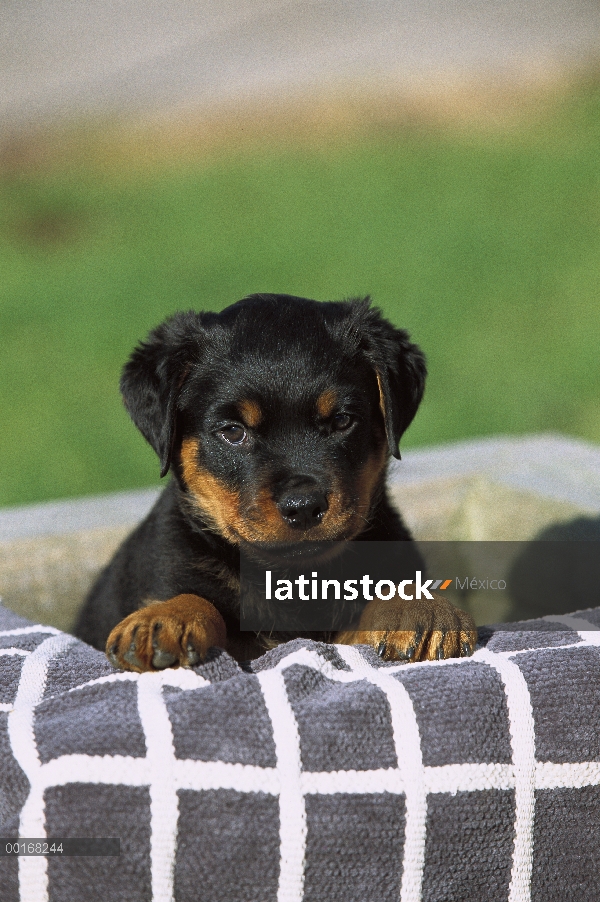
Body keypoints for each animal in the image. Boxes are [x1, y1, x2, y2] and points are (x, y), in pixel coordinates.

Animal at [75, 296, 476, 672]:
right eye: (233, 432)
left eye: (342, 420)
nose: (304, 507)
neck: (291, 580)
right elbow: (197, 599)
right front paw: (165, 619)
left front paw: (420, 609)